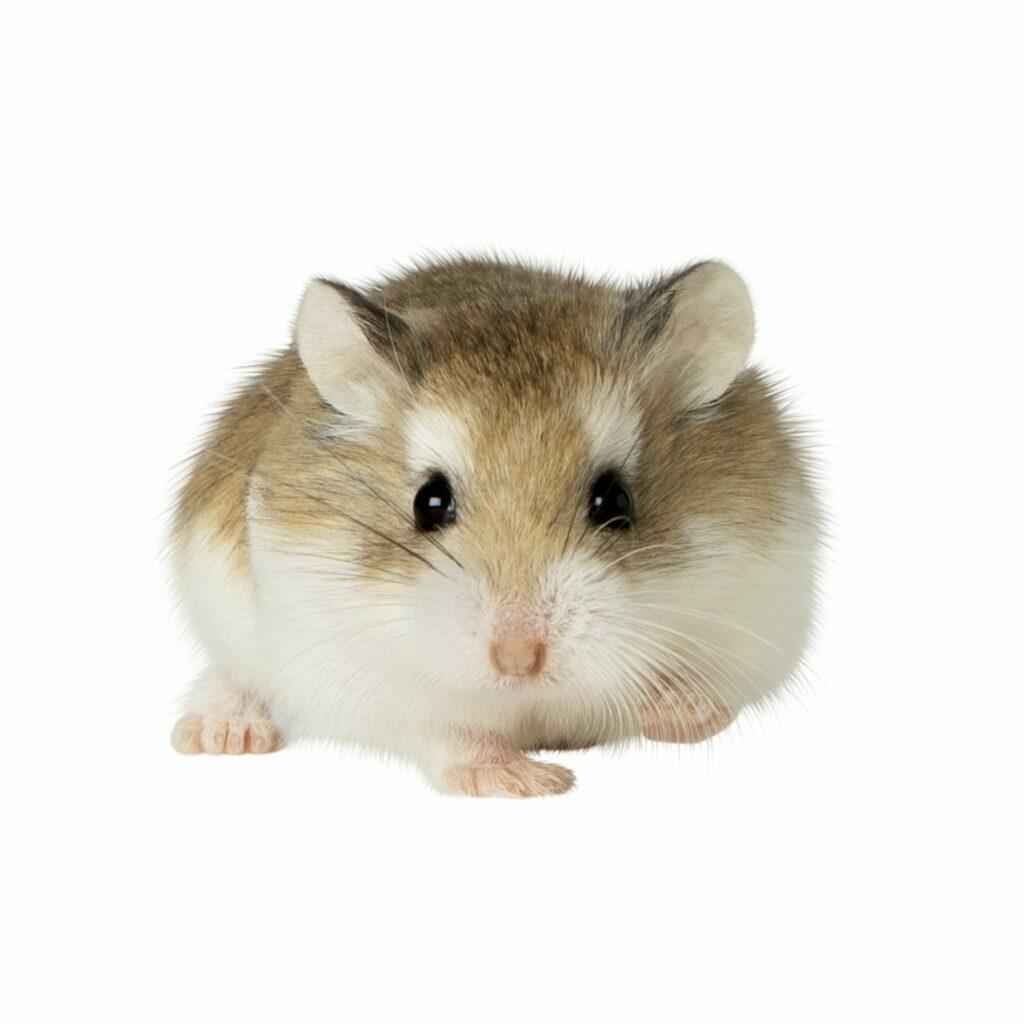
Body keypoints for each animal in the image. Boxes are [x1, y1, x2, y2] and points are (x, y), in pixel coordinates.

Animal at [169, 256, 821, 797]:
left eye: (615, 500)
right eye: (429, 503)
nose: (518, 660)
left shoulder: (759, 617)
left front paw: (678, 710)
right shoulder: (361, 676)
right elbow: (452, 733)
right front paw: (532, 783)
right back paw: (220, 734)